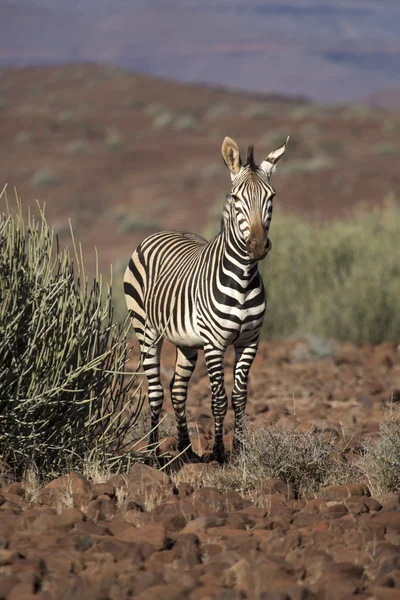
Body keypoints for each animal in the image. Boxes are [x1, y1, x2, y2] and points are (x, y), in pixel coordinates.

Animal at [124, 137, 288, 464]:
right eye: (236, 198)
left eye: (271, 196)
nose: (258, 245)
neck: (243, 278)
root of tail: (161, 231)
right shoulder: (214, 343)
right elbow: (218, 399)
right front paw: (219, 453)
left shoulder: (249, 341)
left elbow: (240, 397)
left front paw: (240, 451)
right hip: (146, 330)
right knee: (155, 391)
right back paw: (154, 453)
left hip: (186, 342)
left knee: (177, 389)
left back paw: (186, 449)